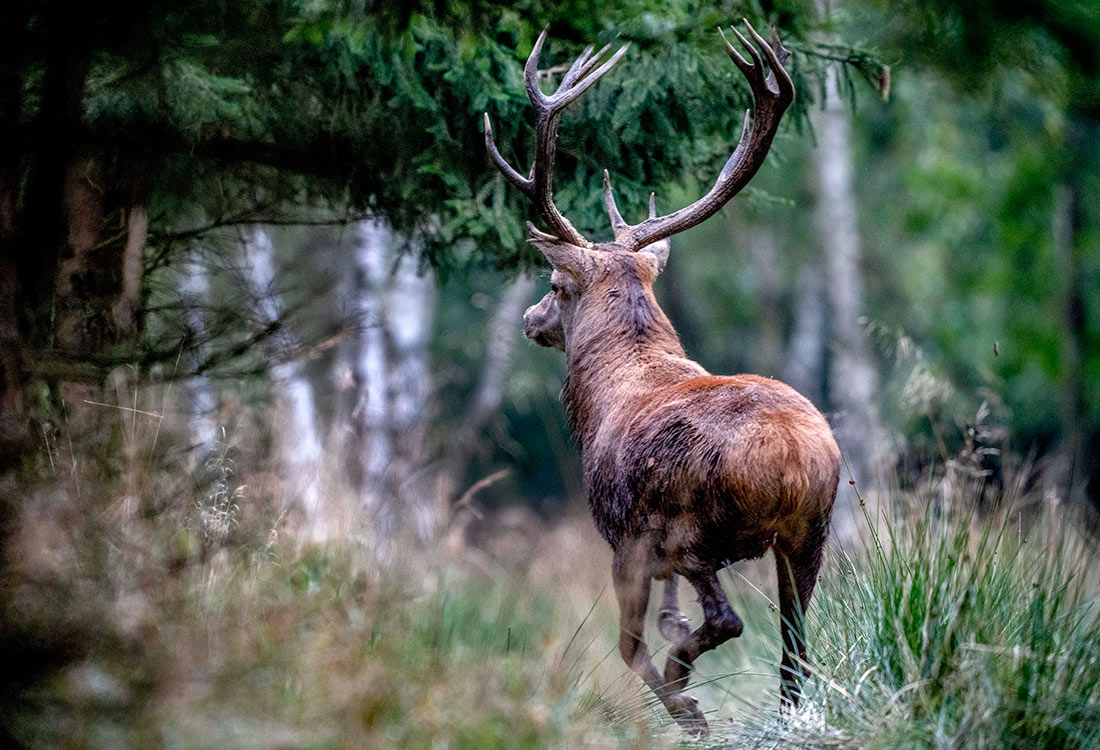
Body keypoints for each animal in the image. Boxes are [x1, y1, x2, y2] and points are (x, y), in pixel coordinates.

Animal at [484, 21, 840, 730]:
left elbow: (629, 642)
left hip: (691, 529)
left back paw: (685, 691)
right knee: (794, 651)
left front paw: (684, 701)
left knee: (728, 621)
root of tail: (797, 462)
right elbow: (669, 617)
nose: (532, 319)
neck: (601, 400)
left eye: (555, 283)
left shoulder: (624, 535)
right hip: (808, 537)